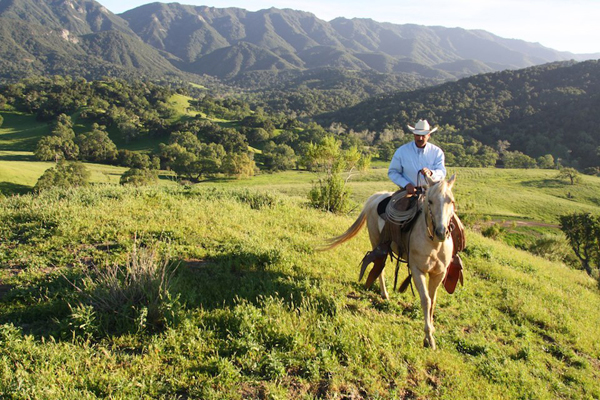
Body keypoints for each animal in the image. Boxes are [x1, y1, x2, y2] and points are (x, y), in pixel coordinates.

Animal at [324, 173, 454, 348]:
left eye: (451, 201)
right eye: (430, 201)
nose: (441, 232)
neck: (433, 243)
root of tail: (375, 197)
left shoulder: (438, 273)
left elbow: (432, 301)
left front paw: (431, 331)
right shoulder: (417, 270)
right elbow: (426, 300)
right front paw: (428, 338)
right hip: (376, 241)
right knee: (380, 268)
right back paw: (384, 294)